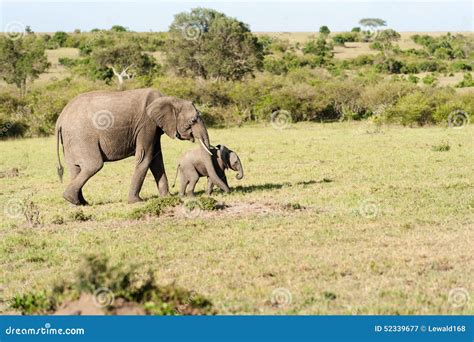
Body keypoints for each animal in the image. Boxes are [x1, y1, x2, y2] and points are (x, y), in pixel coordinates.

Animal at [55, 89, 230, 206]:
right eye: (193, 120)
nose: (228, 192)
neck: (168, 99)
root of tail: (60, 119)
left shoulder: (155, 128)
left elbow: (157, 160)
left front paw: (167, 197)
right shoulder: (147, 124)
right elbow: (145, 157)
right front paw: (136, 201)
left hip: (72, 141)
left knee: (76, 168)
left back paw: (80, 202)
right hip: (82, 136)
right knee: (93, 165)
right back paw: (72, 199)